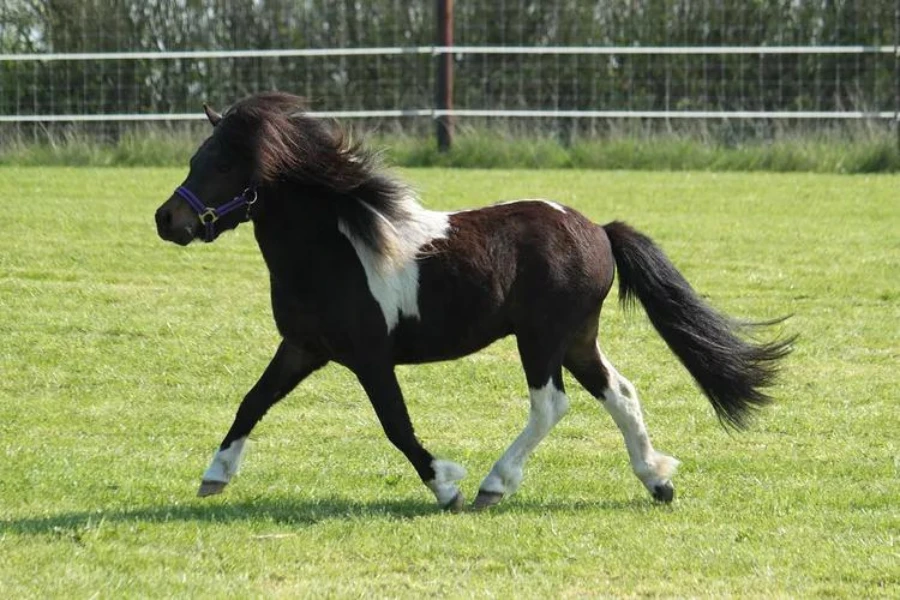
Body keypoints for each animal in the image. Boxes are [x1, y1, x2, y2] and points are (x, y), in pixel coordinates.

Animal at [156, 94, 796, 510]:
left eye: (221, 163)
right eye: (194, 159)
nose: (168, 220)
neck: (333, 249)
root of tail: (597, 229)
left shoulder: (368, 356)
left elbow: (395, 424)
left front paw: (447, 485)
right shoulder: (302, 347)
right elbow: (252, 402)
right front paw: (214, 476)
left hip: (541, 338)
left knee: (550, 406)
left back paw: (495, 484)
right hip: (576, 339)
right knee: (621, 392)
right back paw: (657, 480)